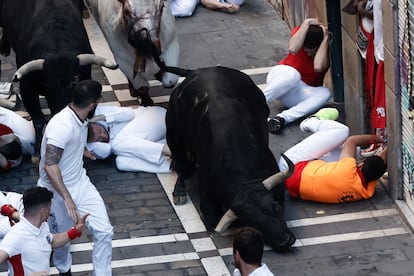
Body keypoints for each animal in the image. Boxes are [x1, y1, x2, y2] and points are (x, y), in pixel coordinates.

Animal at [0, 0, 117, 160]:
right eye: (47, 83)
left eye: (74, 80)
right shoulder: (26, 87)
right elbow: (38, 120)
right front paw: (37, 152)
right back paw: (4, 48)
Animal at [167, 67, 296, 252]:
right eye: (252, 223)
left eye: (276, 208)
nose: (286, 241)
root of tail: (199, 71)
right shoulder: (208, 201)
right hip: (173, 136)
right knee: (181, 164)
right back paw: (179, 192)